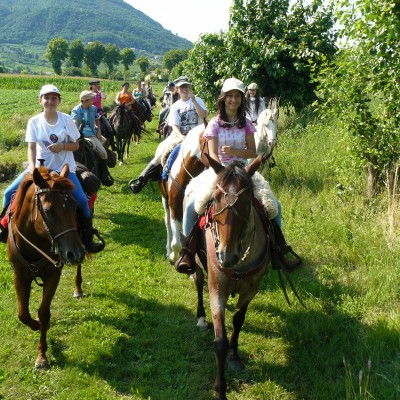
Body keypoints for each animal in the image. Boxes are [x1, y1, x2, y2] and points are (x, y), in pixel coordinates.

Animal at [6, 163, 86, 368]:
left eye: (74, 206)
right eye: (48, 210)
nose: (75, 253)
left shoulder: (53, 275)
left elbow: (43, 313)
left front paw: (41, 356)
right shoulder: (19, 276)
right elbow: (23, 314)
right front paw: (36, 325)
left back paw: (78, 288)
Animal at [194, 155, 268, 400]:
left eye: (247, 201)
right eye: (216, 199)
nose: (227, 255)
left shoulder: (251, 289)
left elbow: (238, 320)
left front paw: (235, 357)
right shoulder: (217, 290)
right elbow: (220, 342)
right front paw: (220, 390)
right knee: (198, 281)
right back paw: (200, 317)